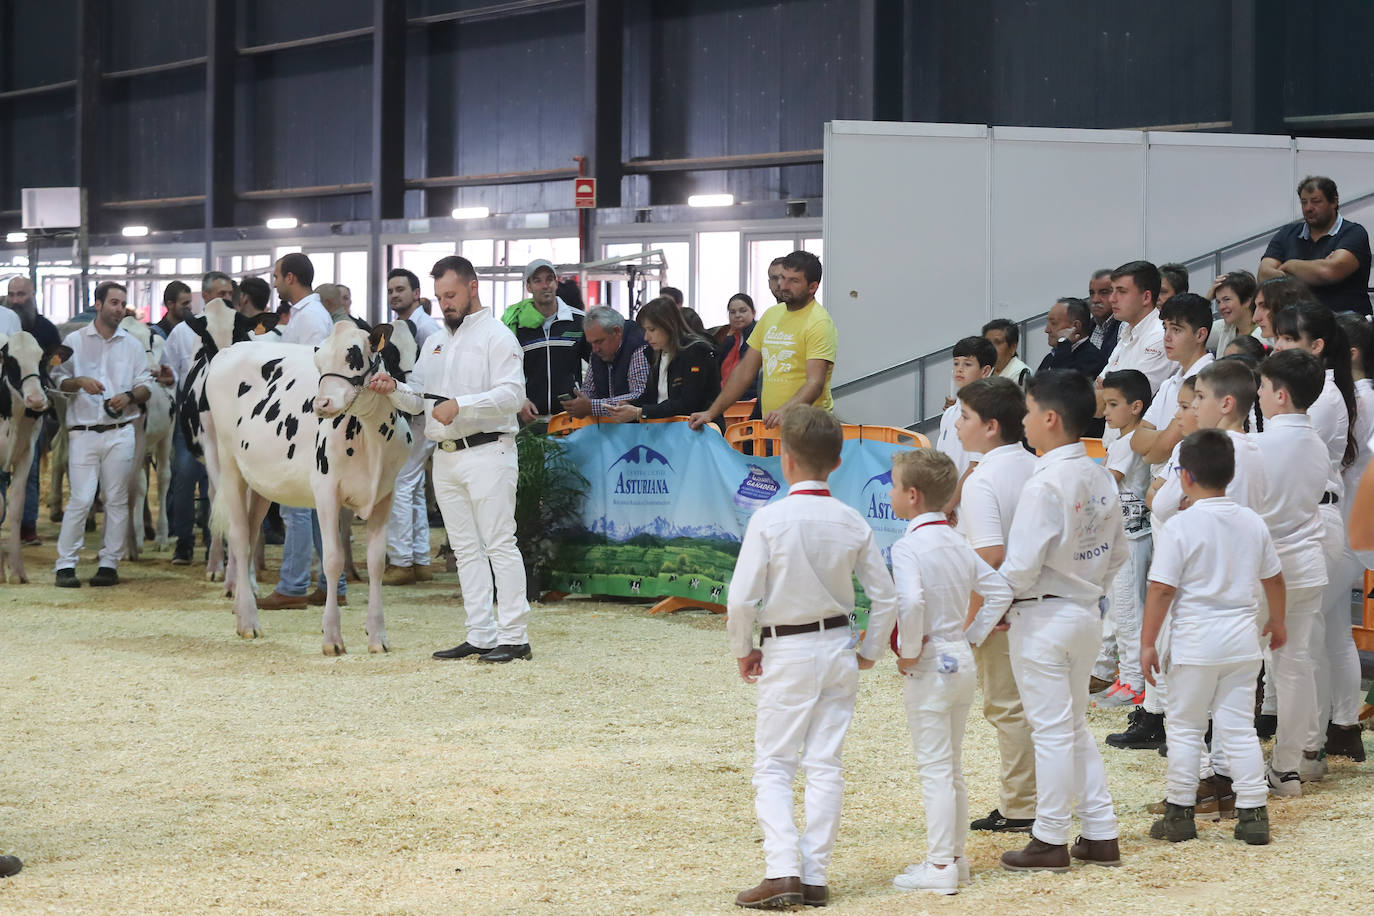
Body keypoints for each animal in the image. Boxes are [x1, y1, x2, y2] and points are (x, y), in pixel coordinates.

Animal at [206, 321, 414, 650]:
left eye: (353, 356)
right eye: (319, 363)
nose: (321, 403)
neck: (371, 437)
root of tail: (231, 349)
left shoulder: (385, 494)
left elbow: (376, 563)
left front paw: (377, 636)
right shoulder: (326, 491)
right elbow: (332, 560)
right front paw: (332, 637)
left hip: (261, 482)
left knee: (250, 536)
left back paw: (242, 613)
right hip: (228, 464)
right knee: (238, 538)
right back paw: (249, 622)